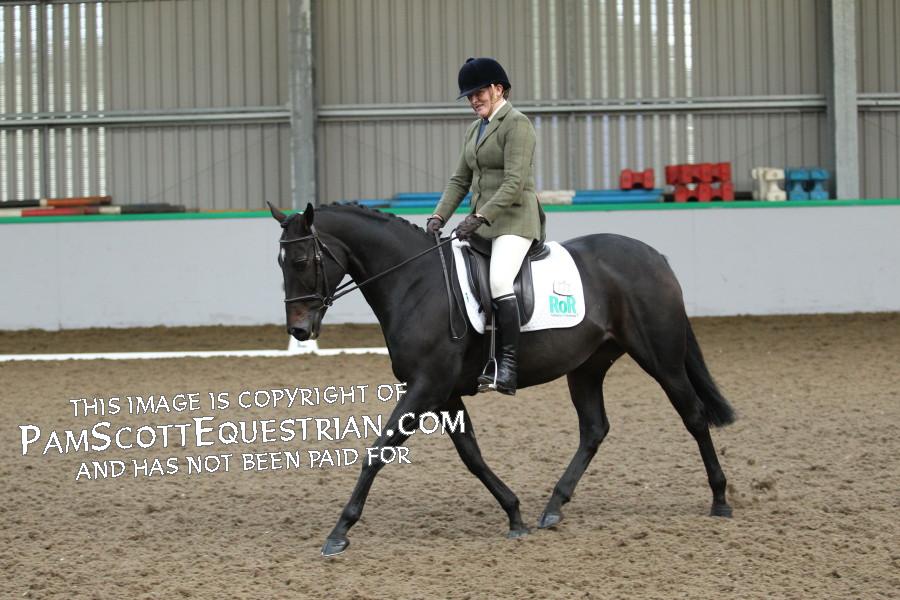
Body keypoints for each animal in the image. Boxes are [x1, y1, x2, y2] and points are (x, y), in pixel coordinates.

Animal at [268, 202, 735, 556]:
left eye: (302, 261)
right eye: (280, 262)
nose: (299, 331)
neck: (415, 283)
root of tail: (653, 257)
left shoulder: (426, 387)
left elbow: (378, 451)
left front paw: (339, 532)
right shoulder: (443, 394)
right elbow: (471, 455)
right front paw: (514, 514)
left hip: (661, 358)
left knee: (693, 416)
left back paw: (720, 500)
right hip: (587, 366)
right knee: (594, 429)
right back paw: (553, 506)